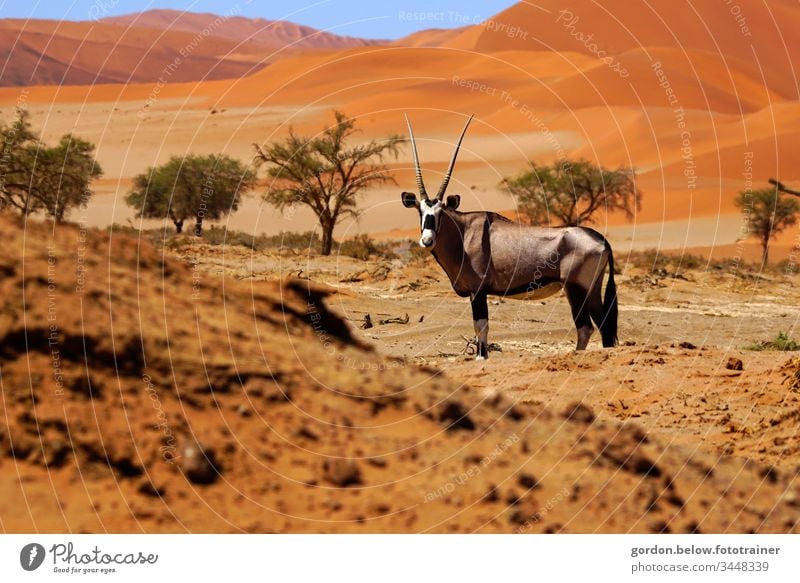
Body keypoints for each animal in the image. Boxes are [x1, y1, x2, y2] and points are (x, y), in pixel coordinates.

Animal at [400, 113, 620, 360]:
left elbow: (481, 325)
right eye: (420, 211)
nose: (427, 240)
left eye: (440, 212)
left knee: (589, 326)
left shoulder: (478, 291)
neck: (463, 233)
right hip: (590, 289)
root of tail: (601, 240)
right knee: (600, 326)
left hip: (577, 288)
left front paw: (481, 357)